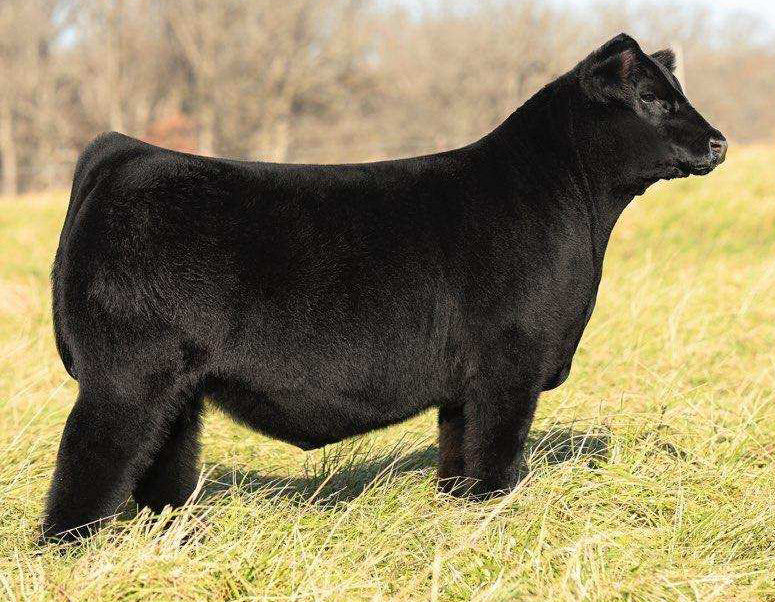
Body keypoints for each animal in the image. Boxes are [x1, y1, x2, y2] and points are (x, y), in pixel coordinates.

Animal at [42, 33, 726, 541]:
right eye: (650, 97)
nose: (718, 142)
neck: (571, 207)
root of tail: (125, 152)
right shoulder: (509, 366)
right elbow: (496, 462)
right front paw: (496, 520)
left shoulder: (464, 385)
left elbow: (459, 460)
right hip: (124, 381)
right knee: (86, 466)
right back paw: (71, 549)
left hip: (176, 389)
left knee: (162, 467)